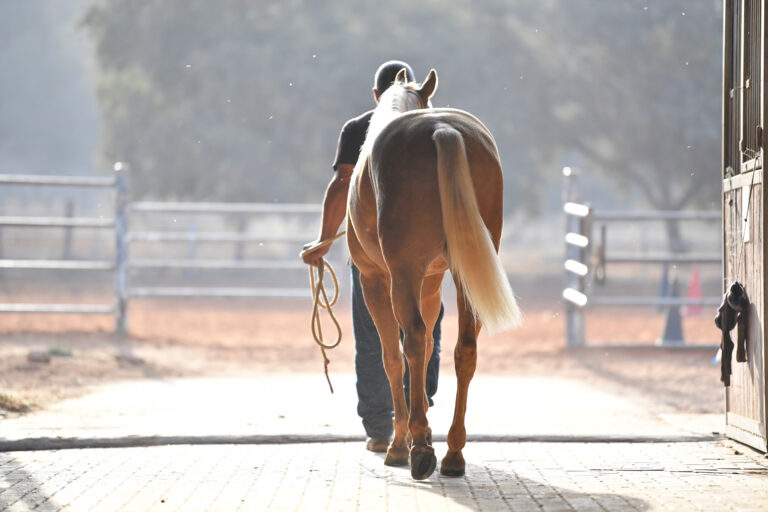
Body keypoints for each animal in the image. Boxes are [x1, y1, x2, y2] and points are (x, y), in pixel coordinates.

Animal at [346, 68, 522, 480]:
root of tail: (442, 129)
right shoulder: (429, 284)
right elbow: (429, 351)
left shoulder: (377, 280)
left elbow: (394, 357)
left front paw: (401, 443)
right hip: (462, 276)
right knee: (465, 349)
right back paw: (453, 453)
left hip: (401, 275)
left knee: (409, 342)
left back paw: (419, 450)